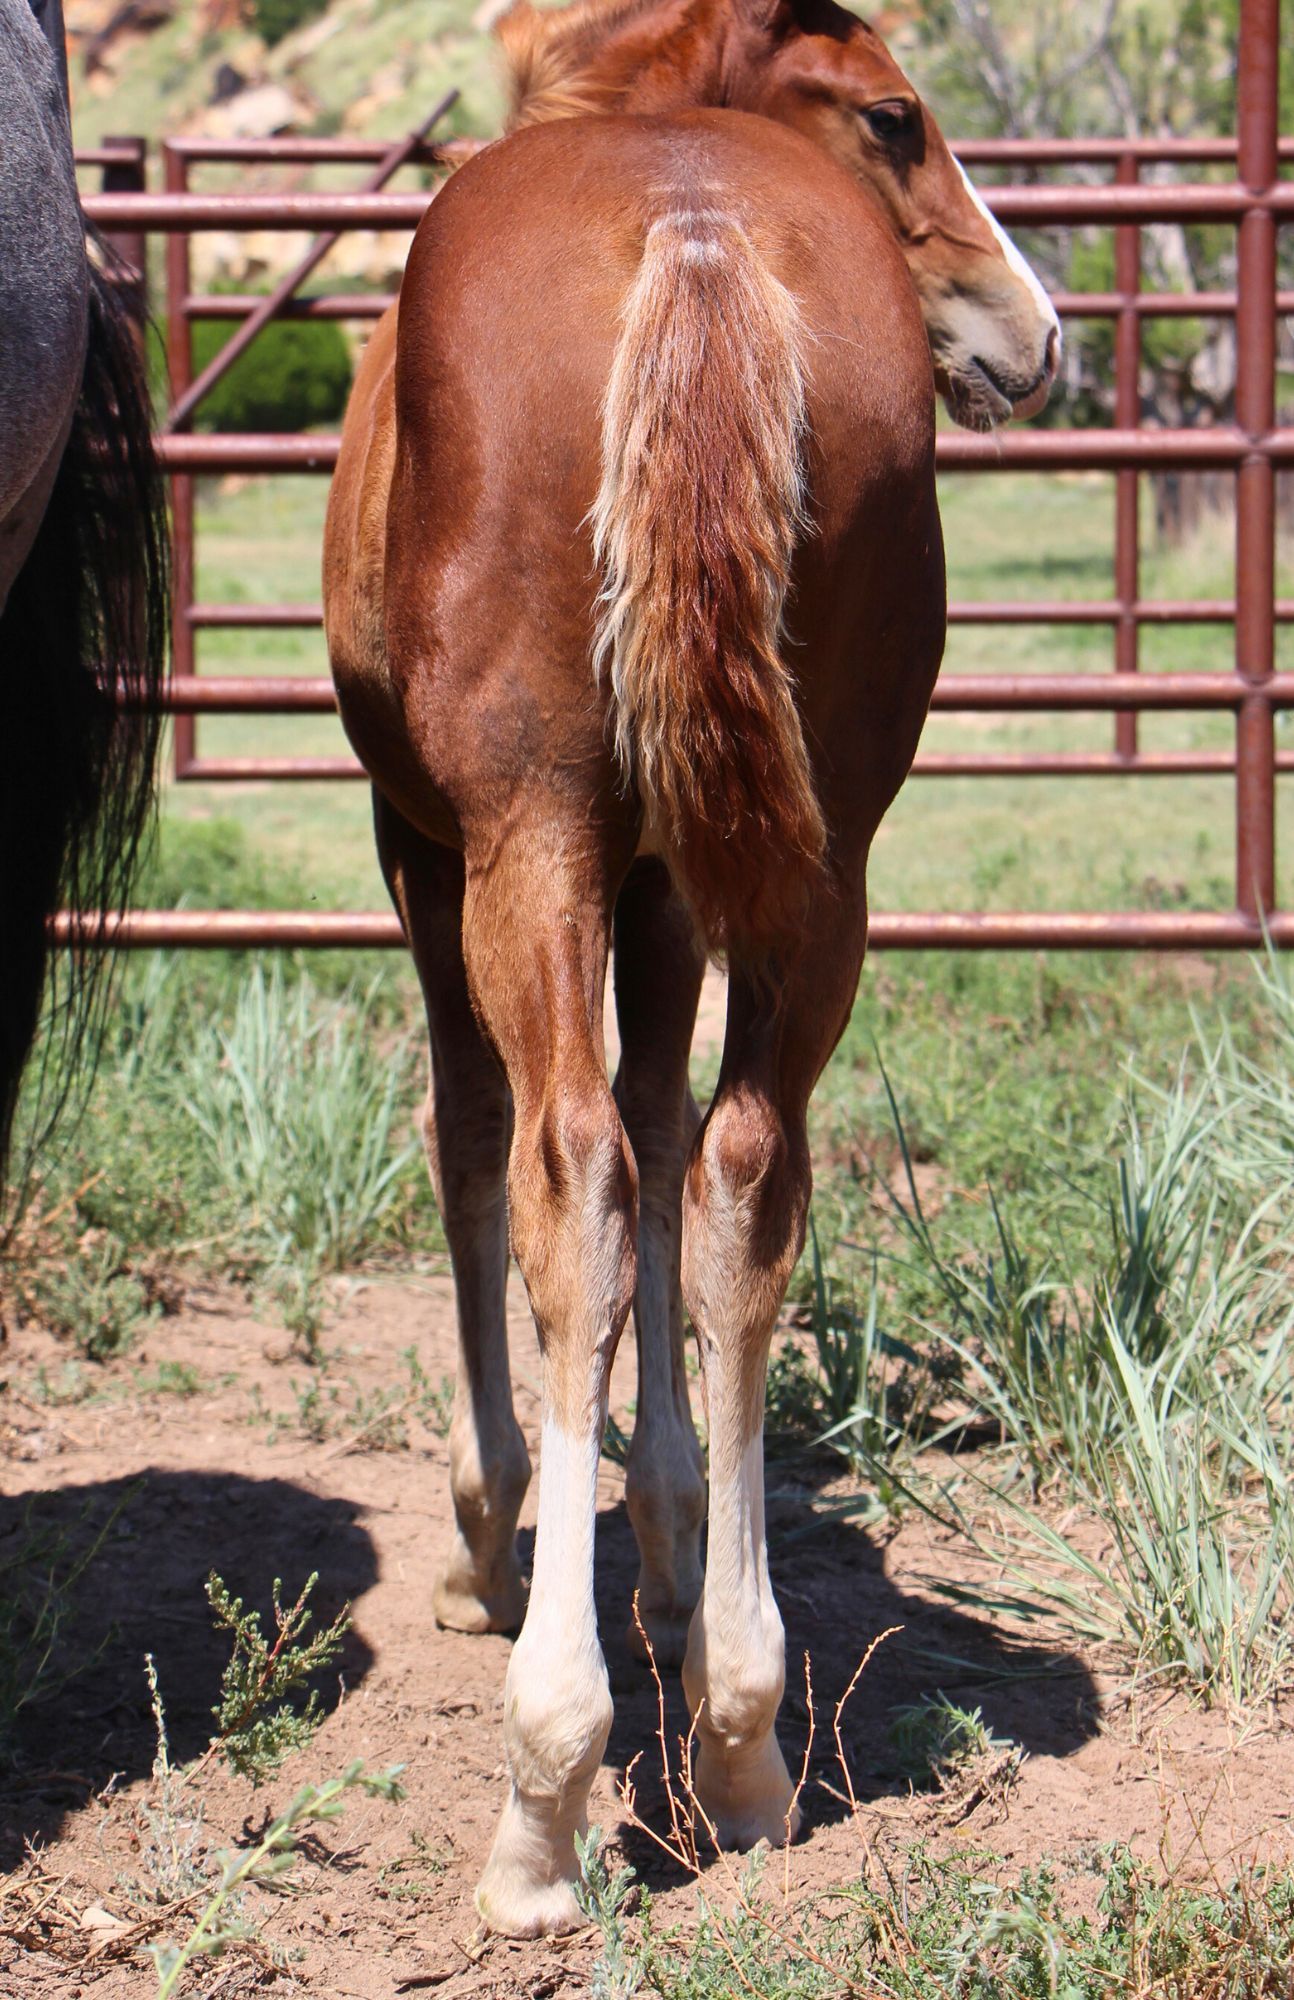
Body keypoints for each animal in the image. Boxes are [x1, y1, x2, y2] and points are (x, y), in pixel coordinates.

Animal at [323, 0, 1059, 1936]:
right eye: (893, 117)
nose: (1036, 331)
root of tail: (693, 228)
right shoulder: (668, 874)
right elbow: (671, 1147)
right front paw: (661, 1555)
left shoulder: (423, 843)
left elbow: (483, 1150)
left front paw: (492, 1529)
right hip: (822, 858)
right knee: (737, 1171)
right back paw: (736, 1740)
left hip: (522, 840)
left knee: (566, 1169)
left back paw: (544, 1806)